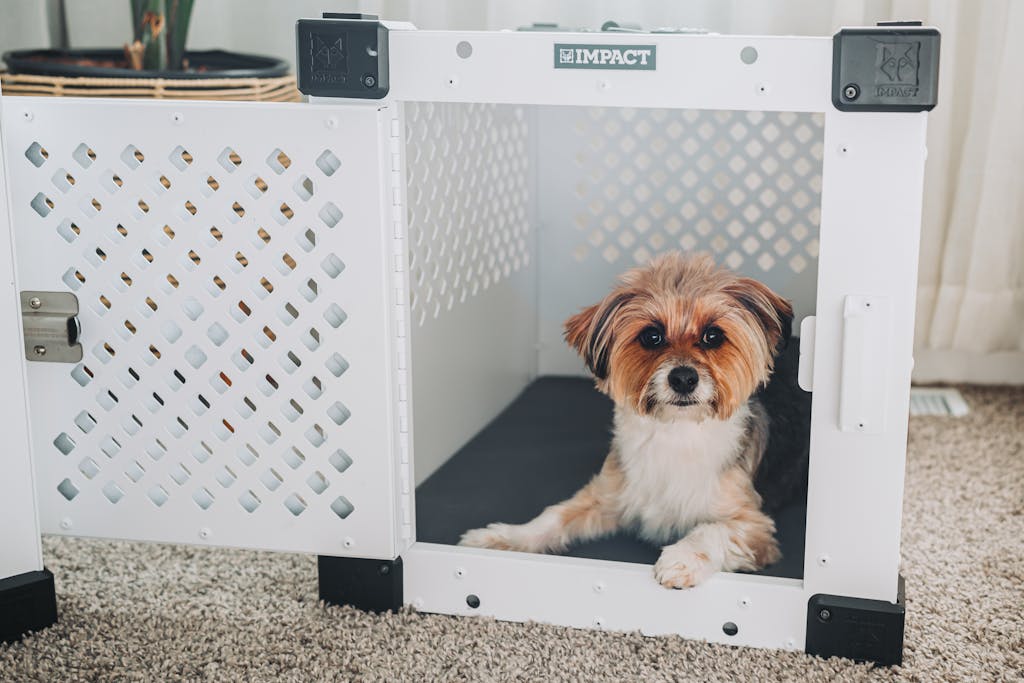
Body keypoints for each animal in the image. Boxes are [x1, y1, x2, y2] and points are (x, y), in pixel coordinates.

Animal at [458, 250, 806, 589]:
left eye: (713, 336)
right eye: (652, 336)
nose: (683, 378)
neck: (676, 431)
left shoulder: (754, 527)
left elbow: (711, 530)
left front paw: (681, 559)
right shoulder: (609, 495)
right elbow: (552, 517)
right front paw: (502, 537)